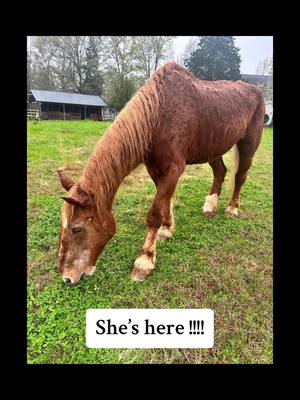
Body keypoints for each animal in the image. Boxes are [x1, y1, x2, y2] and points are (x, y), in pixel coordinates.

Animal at [56, 61, 264, 284]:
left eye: (77, 229)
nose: (67, 278)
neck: (159, 114)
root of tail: (256, 89)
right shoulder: (156, 169)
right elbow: (166, 201)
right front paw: (167, 228)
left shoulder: (173, 169)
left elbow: (155, 213)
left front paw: (144, 261)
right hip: (213, 147)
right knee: (220, 172)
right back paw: (210, 207)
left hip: (248, 145)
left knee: (240, 176)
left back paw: (232, 208)